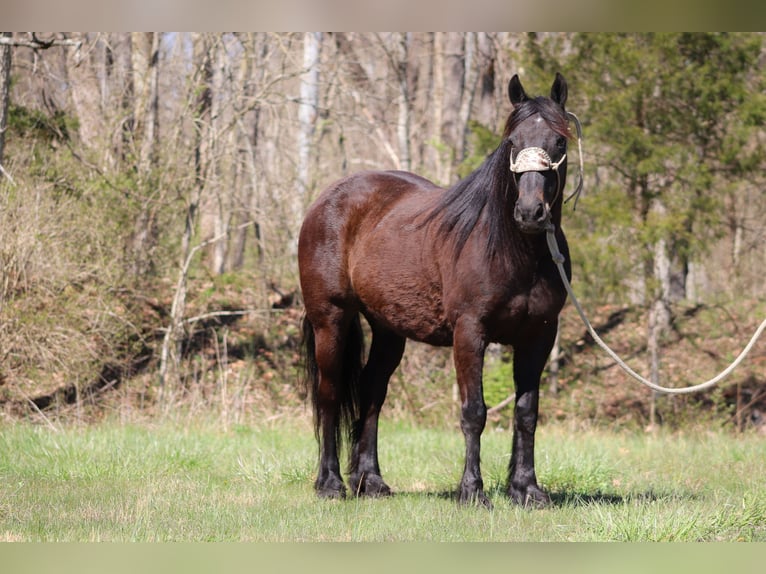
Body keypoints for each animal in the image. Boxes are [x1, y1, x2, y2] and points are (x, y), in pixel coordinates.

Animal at [296, 72, 572, 508]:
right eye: (512, 141)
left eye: (559, 141)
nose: (530, 213)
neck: (514, 251)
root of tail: (327, 199)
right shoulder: (469, 333)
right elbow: (474, 412)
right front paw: (472, 491)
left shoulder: (539, 336)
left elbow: (527, 412)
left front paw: (526, 489)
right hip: (331, 319)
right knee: (330, 393)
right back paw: (330, 484)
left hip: (388, 330)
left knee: (372, 393)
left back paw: (371, 481)